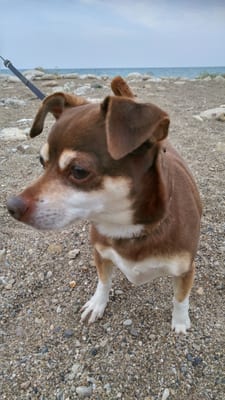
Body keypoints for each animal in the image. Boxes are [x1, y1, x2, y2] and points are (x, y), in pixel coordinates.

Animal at [6, 76, 202, 332]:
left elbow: (180, 298)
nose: (11, 206)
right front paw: (97, 304)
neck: (128, 229)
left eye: (79, 171)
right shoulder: (101, 254)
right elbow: (103, 281)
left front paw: (179, 322)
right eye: (42, 162)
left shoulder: (185, 270)